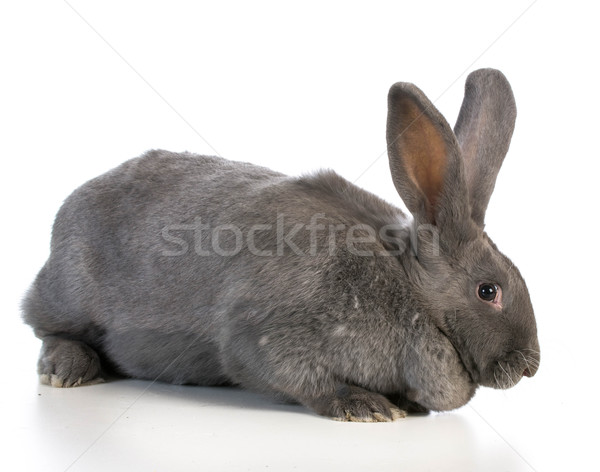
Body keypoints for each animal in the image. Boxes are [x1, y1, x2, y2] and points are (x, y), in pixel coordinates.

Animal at [22, 68, 540, 422]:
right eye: (488, 291)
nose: (531, 367)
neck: (411, 289)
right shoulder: (266, 336)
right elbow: (302, 380)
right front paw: (366, 407)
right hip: (71, 291)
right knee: (43, 324)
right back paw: (66, 369)